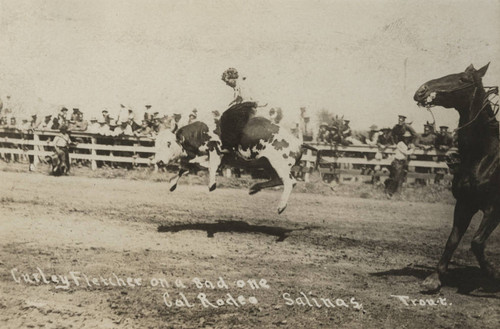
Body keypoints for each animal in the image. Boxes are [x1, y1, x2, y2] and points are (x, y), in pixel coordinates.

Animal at [414, 62, 500, 290]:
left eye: (463, 79)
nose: (422, 90)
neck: (485, 156)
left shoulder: (494, 208)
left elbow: (477, 242)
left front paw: (493, 272)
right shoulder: (464, 204)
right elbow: (453, 240)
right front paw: (434, 278)